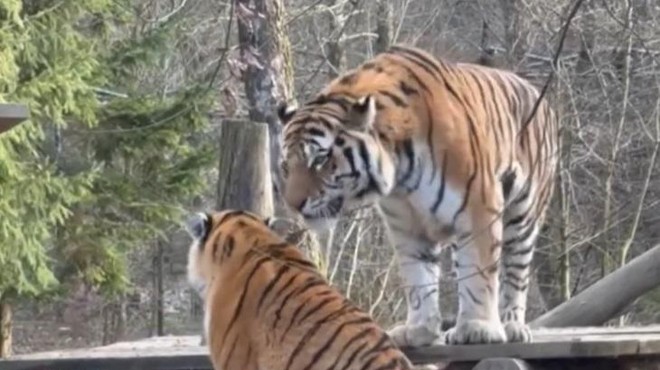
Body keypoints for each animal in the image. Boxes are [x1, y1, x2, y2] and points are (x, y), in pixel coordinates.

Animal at [274, 44, 556, 346]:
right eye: (285, 165)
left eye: (320, 160)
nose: (293, 204)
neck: (400, 167)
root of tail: (537, 93)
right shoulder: (406, 223)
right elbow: (418, 277)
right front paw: (419, 330)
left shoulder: (479, 206)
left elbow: (479, 271)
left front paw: (478, 329)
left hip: (524, 215)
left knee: (516, 269)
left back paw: (512, 325)